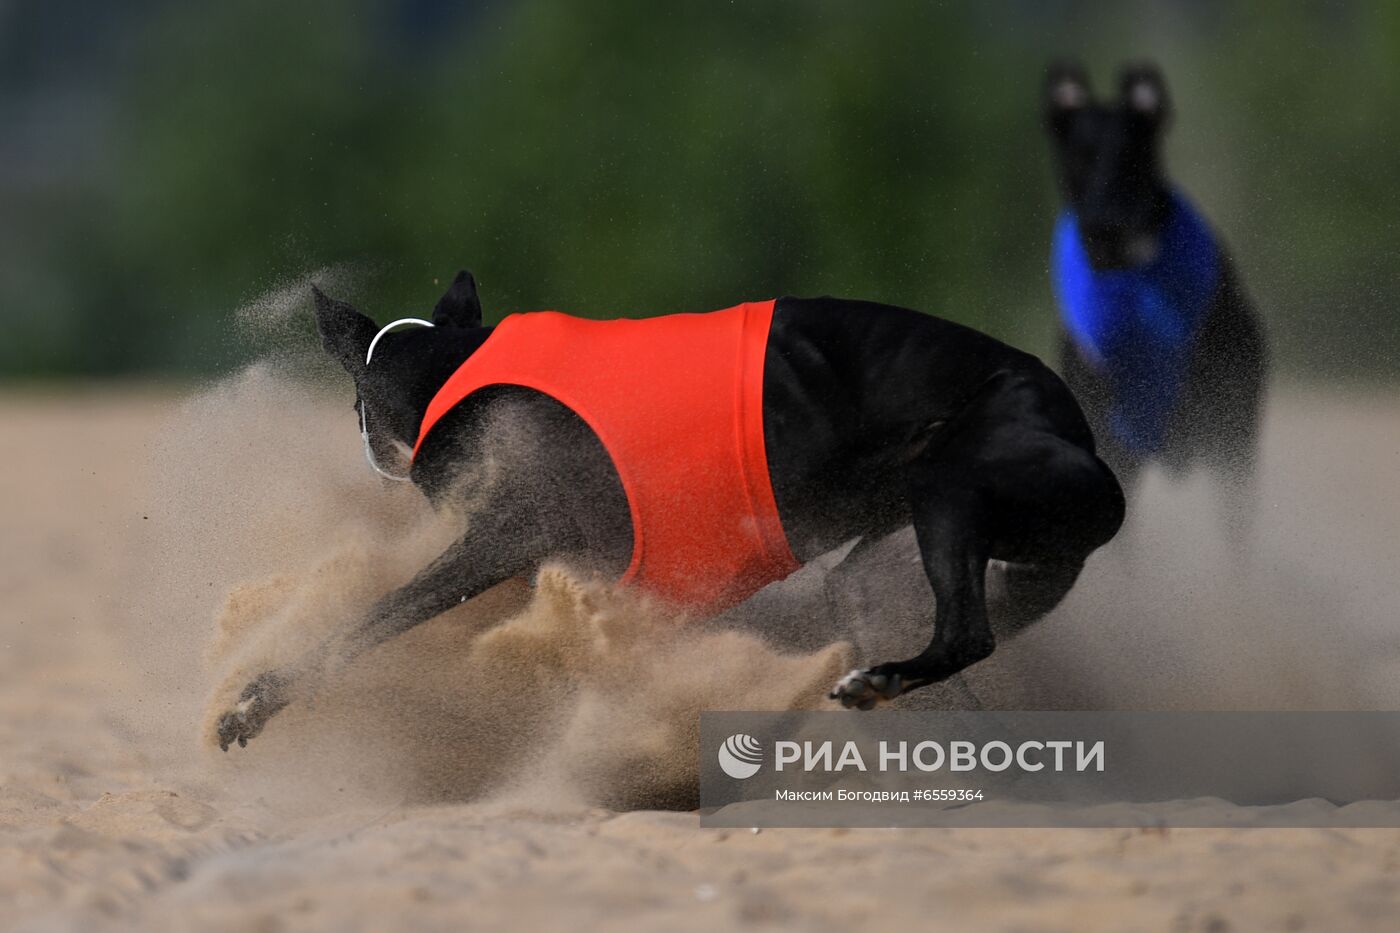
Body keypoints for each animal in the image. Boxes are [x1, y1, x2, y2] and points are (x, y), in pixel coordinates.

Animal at [212, 275, 1120, 750]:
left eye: (354, 398)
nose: (369, 449)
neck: (454, 369)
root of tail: (1082, 434)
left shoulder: (505, 536)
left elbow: (370, 619)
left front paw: (254, 699)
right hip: (872, 573)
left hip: (949, 487)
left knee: (968, 632)